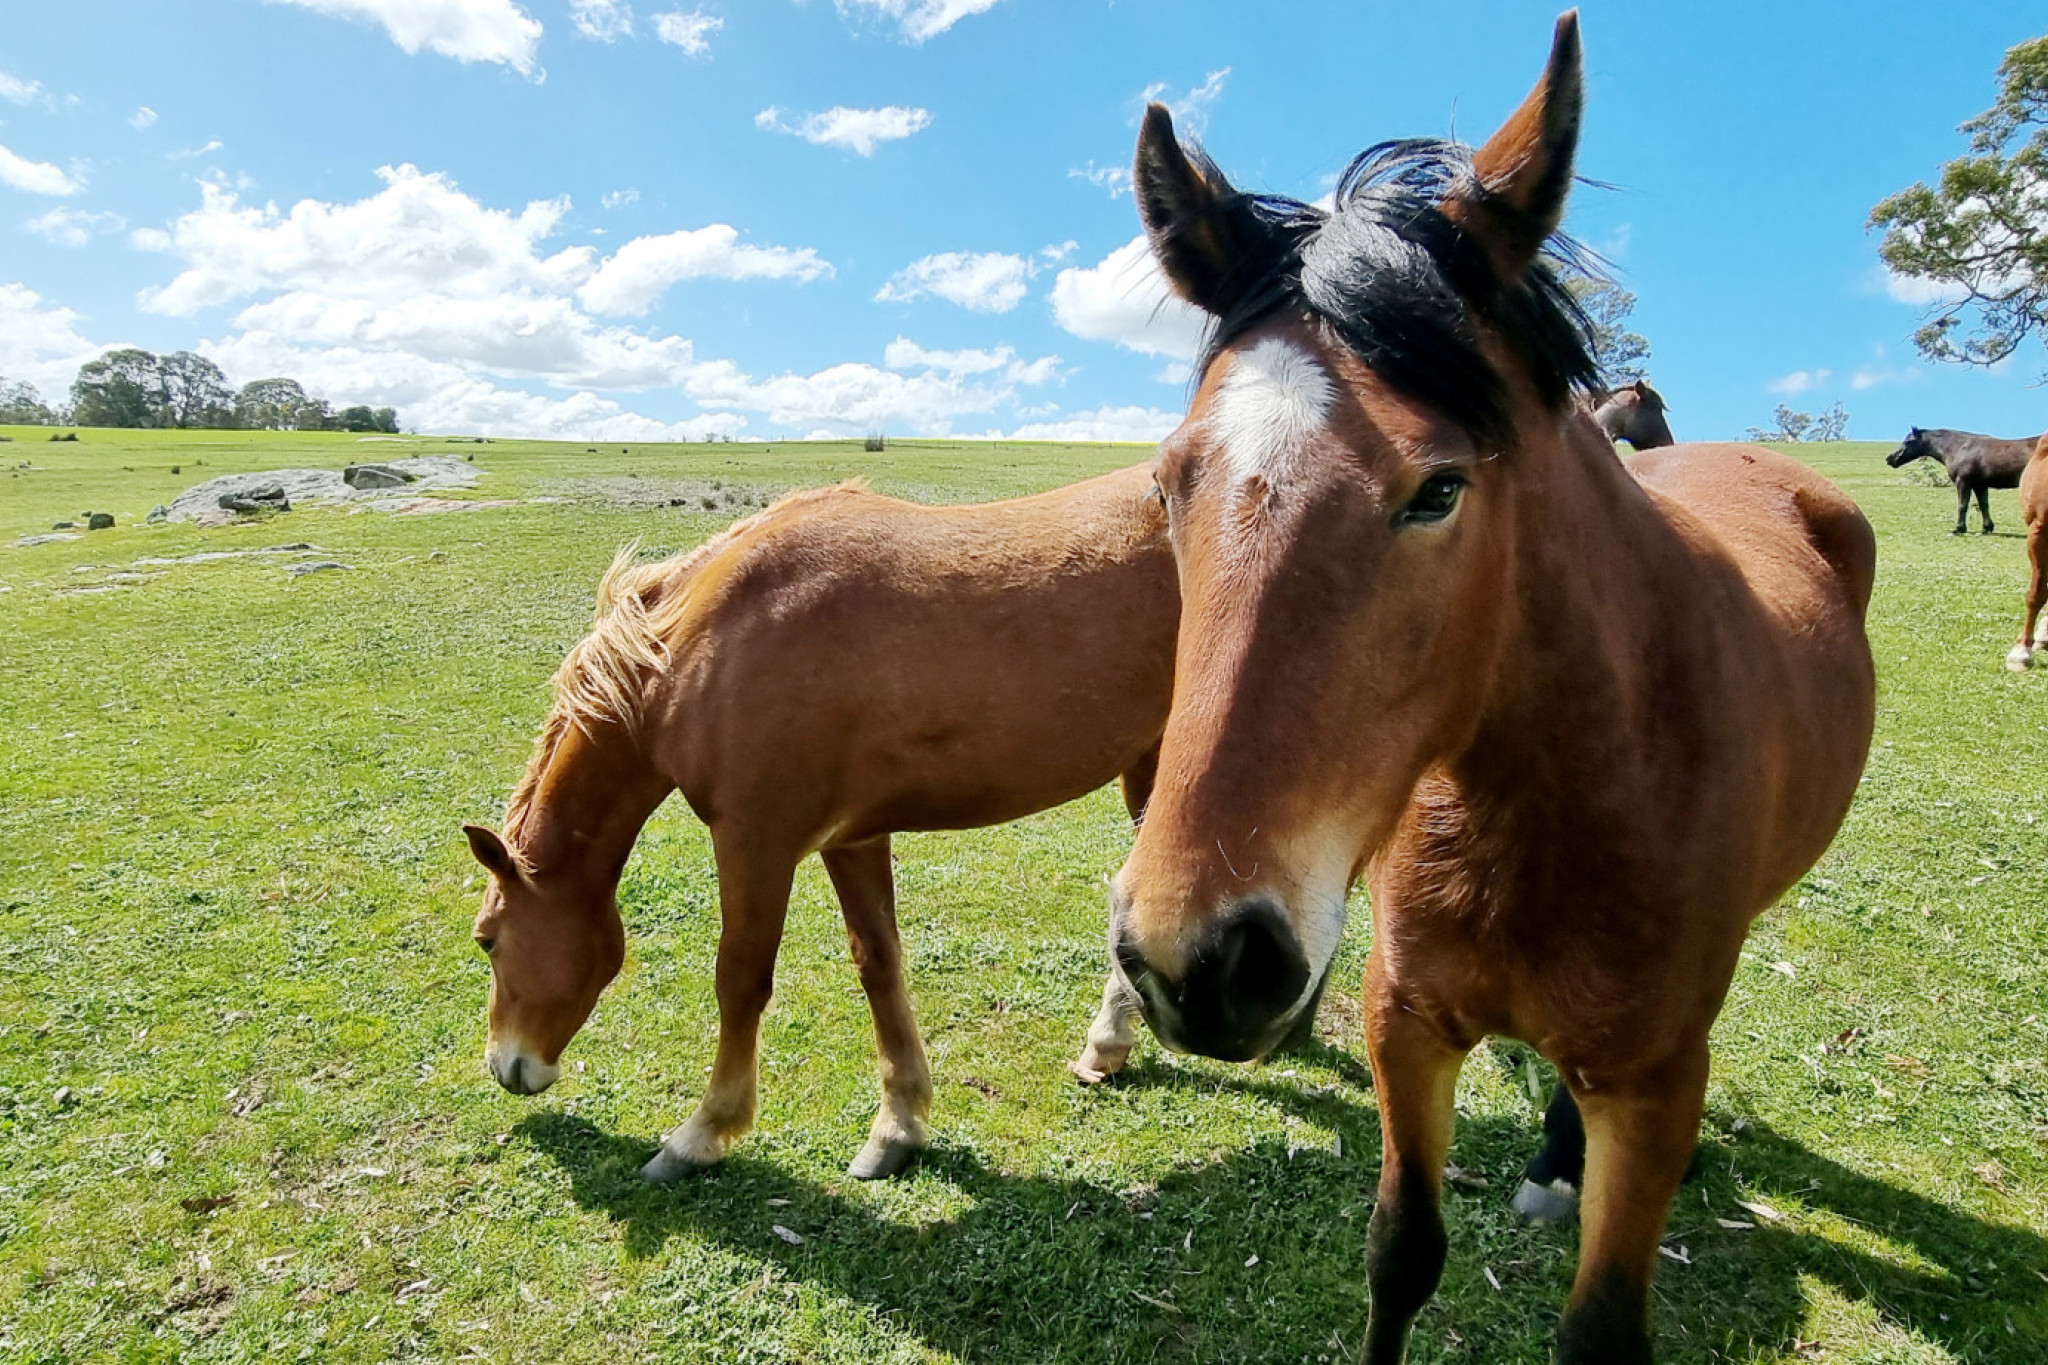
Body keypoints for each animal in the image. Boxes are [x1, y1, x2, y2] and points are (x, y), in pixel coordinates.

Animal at [463, 464, 1178, 1181]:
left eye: (487, 940)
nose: (506, 1066)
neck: (710, 643)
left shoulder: (755, 841)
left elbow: (739, 979)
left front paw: (701, 1134)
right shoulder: (852, 838)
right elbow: (878, 963)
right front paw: (897, 1127)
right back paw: (1107, 1045)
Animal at [1105, 14, 1876, 1363]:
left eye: (1437, 489)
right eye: (1168, 483)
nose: (1194, 961)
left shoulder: (1655, 1085)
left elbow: (1599, 1325)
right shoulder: (1402, 1020)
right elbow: (1399, 1253)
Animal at [1885, 425, 2041, 534]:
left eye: (1909, 441)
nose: (1890, 459)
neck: (1960, 447)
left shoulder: (1963, 482)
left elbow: (1962, 505)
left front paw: (1959, 528)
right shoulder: (1979, 485)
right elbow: (1984, 505)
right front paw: (1987, 528)